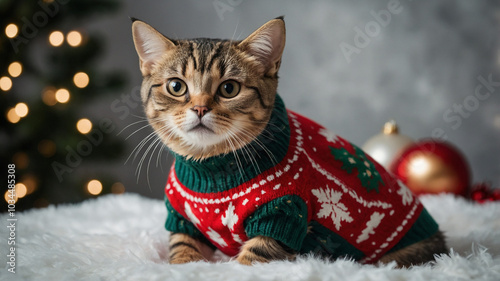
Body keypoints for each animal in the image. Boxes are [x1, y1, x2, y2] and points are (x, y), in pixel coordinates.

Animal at [131, 16, 448, 266]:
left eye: (229, 88)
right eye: (176, 86)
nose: (199, 108)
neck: (212, 167)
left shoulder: (284, 214)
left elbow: (252, 259)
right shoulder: (182, 219)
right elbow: (182, 251)